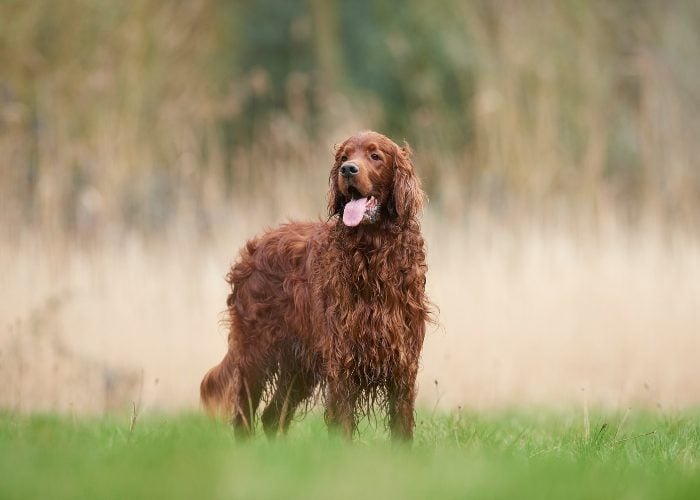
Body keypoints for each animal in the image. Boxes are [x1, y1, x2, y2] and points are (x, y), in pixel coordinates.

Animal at [202, 131, 430, 440]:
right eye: (344, 157)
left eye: (375, 156)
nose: (348, 170)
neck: (372, 255)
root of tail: (255, 247)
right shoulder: (342, 362)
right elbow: (343, 423)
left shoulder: (403, 364)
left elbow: (402, 429)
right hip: (256, 353)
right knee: (244, 416)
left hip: (299, 365)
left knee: (272, 415)